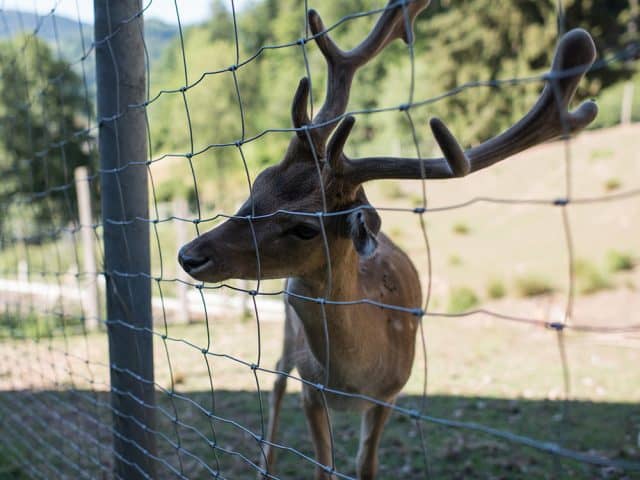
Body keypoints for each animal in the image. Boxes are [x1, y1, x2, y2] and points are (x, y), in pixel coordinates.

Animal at [178, 1, 596, 478]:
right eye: (258, 183)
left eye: (305, 226)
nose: (189, 254)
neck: (352, 378)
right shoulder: (311, 388)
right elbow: (322, 465)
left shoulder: (391, 392)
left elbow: (365, 464)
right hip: (285, 334)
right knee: (277, 378)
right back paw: (264, 462)